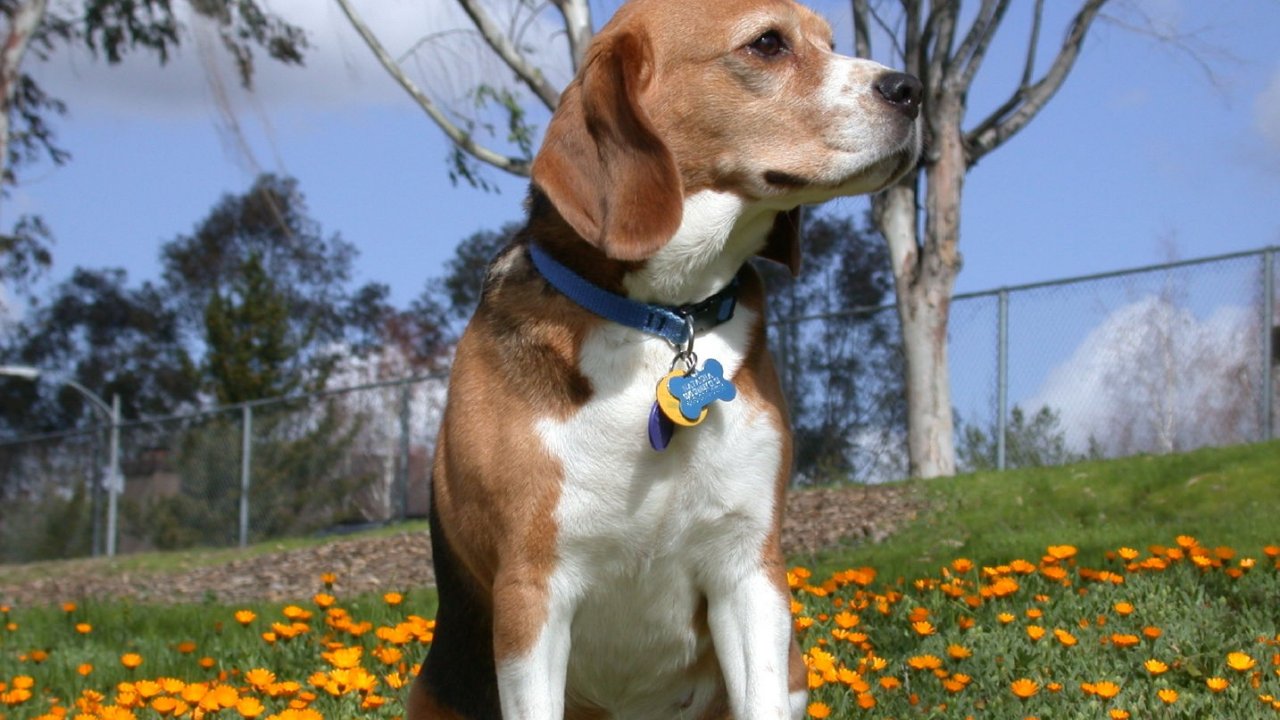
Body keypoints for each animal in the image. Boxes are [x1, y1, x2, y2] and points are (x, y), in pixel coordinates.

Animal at [409, 0, 921, 712]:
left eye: (829, 40)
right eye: (768, 43)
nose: (913, 90)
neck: (664, 321)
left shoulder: (747, 568)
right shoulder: (531, 592)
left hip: (794, 663)